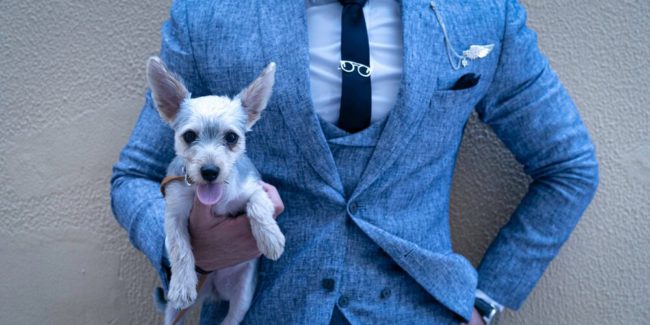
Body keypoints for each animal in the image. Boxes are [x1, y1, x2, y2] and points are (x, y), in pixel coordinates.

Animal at [147, 57, 284, 322]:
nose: (210, 171)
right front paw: (182, 284)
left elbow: (258, 205)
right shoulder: (174, 213)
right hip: (174, 313)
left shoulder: (256, 188)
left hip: (242, 300)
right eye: (189, 136)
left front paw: (270, 238)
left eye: (231, 137)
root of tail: (214, 290)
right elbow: (179, 247)